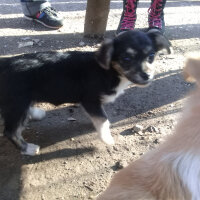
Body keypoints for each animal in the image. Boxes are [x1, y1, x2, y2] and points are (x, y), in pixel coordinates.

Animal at [0, 30, 170, 155]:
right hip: (17, 102)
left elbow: (99, 117)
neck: (108, 71)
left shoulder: (92, 104)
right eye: (127, 58)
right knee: (11, 131)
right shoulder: (90, 100)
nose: (147, 76)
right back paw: (27, 148)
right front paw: (106, 138)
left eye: (151, 56)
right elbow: (103, 119)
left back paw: (34, 113)